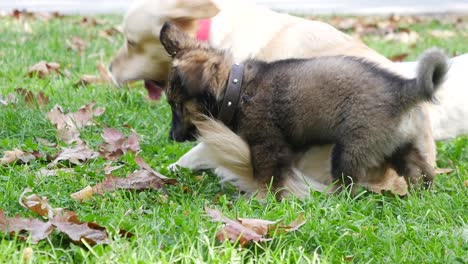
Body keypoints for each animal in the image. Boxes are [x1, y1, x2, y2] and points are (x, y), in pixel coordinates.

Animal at [161, 22, 450, 192]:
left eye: (177, 106)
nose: (171, 137)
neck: (238, 88)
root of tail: (403, 91)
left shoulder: (267, 145)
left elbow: (267, 177)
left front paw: (266, 199)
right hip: (401, 146)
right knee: (421, 173)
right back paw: (423, 196)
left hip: (351, 150)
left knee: (349, 185)